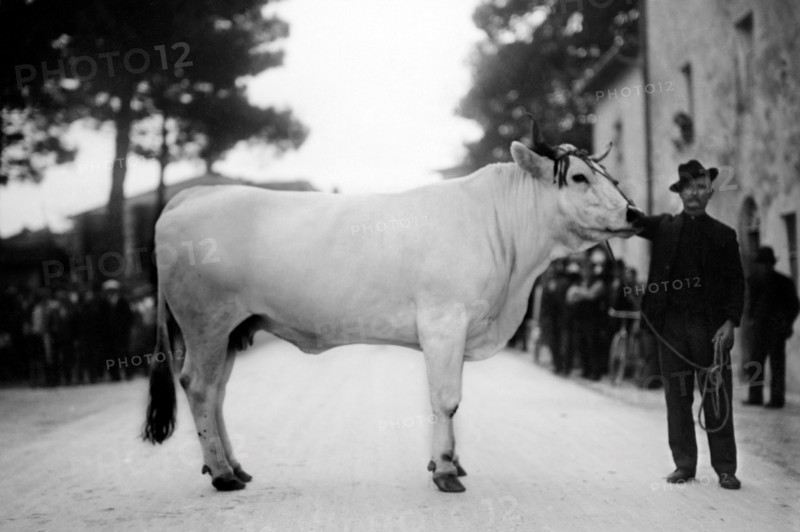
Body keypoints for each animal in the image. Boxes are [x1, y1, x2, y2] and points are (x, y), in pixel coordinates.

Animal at [142, 119, 644, 493]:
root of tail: (193, 194)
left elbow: (446, 398)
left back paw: (234, 465)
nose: (636, 214)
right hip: (206, 324)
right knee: (200, 387)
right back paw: (222, 474)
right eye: (578, 177)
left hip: (233, 329)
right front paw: (446, 471)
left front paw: (449, 462)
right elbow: (447, 398)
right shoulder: (445, 322)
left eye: (611, 178)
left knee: (217, 392)